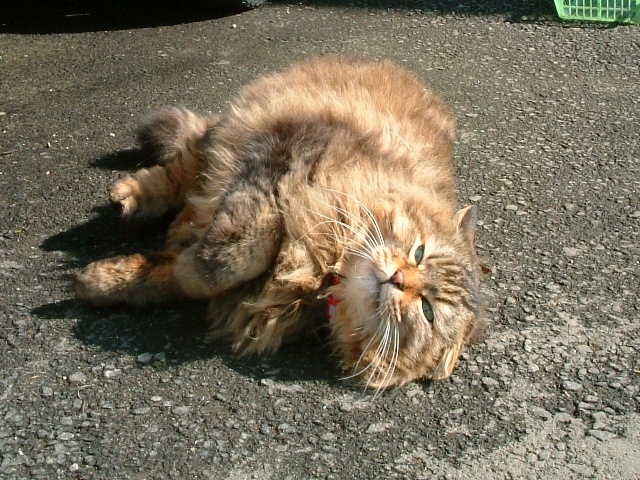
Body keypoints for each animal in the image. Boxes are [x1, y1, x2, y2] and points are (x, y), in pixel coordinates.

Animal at [74, 56, 484, 391]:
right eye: (419, 252)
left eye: (428, 311)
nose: (398, 279)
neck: (324, 268)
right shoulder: (282, 153)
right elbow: (227, 260)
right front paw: (189, 254)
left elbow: (172, 277)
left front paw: (103, 282)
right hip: (232, 128)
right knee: (178, 169)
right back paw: (132, 198)